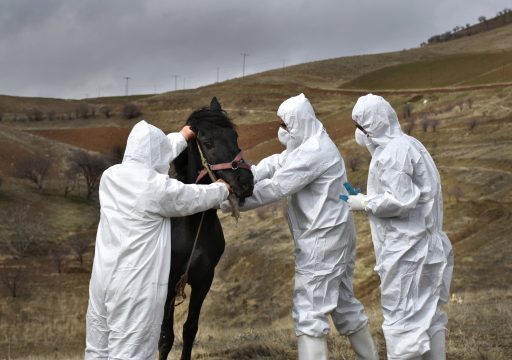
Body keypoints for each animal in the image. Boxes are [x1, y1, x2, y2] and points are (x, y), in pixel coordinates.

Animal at [158, 98, 254, 360]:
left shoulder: (203, 281)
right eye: (207, 142)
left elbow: (190, 329)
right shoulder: (169, 281)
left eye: (235, 136)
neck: (191, 226)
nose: (246, 183)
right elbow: (165, 337)